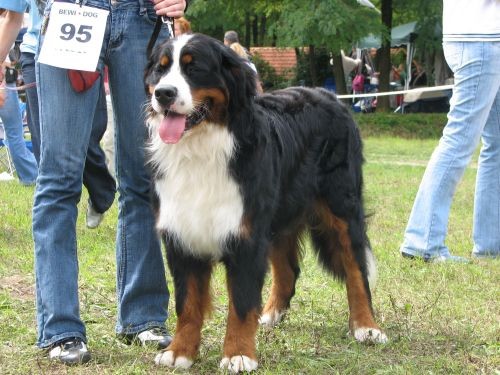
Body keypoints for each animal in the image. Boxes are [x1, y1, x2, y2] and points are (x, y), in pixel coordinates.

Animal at [145, 33, 386, 374]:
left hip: (341, 206)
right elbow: (187, 303)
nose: (164, 93)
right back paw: (270, 315)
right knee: (288, 270)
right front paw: (180, 352)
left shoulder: (246, 236)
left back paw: (366, 326)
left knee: (356, 269)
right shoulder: (182, 235)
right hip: (278, 218)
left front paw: (238, 354)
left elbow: (242, 304)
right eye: (161, 69)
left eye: (195, 69)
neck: (201, 150)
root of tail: (328, 95)